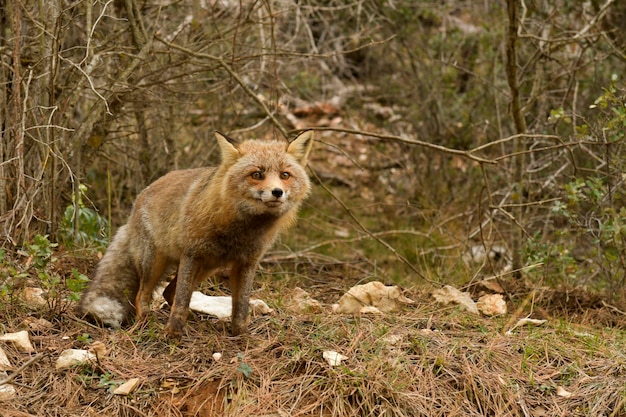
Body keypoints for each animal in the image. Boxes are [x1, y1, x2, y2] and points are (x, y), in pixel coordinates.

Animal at [78, 130, 312, 334]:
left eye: (285, 175)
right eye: (257, 174)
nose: (277, 192)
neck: (241, 230)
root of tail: (139, 199)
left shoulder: (246, 262)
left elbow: (240, 306)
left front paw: (241, 336)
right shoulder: (191, 254)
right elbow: (182, 301)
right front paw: (171, 334)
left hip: (207, 267)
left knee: (168, 292)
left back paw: (192, 319)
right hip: (155, 262)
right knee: (142, 295)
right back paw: (146, 322)